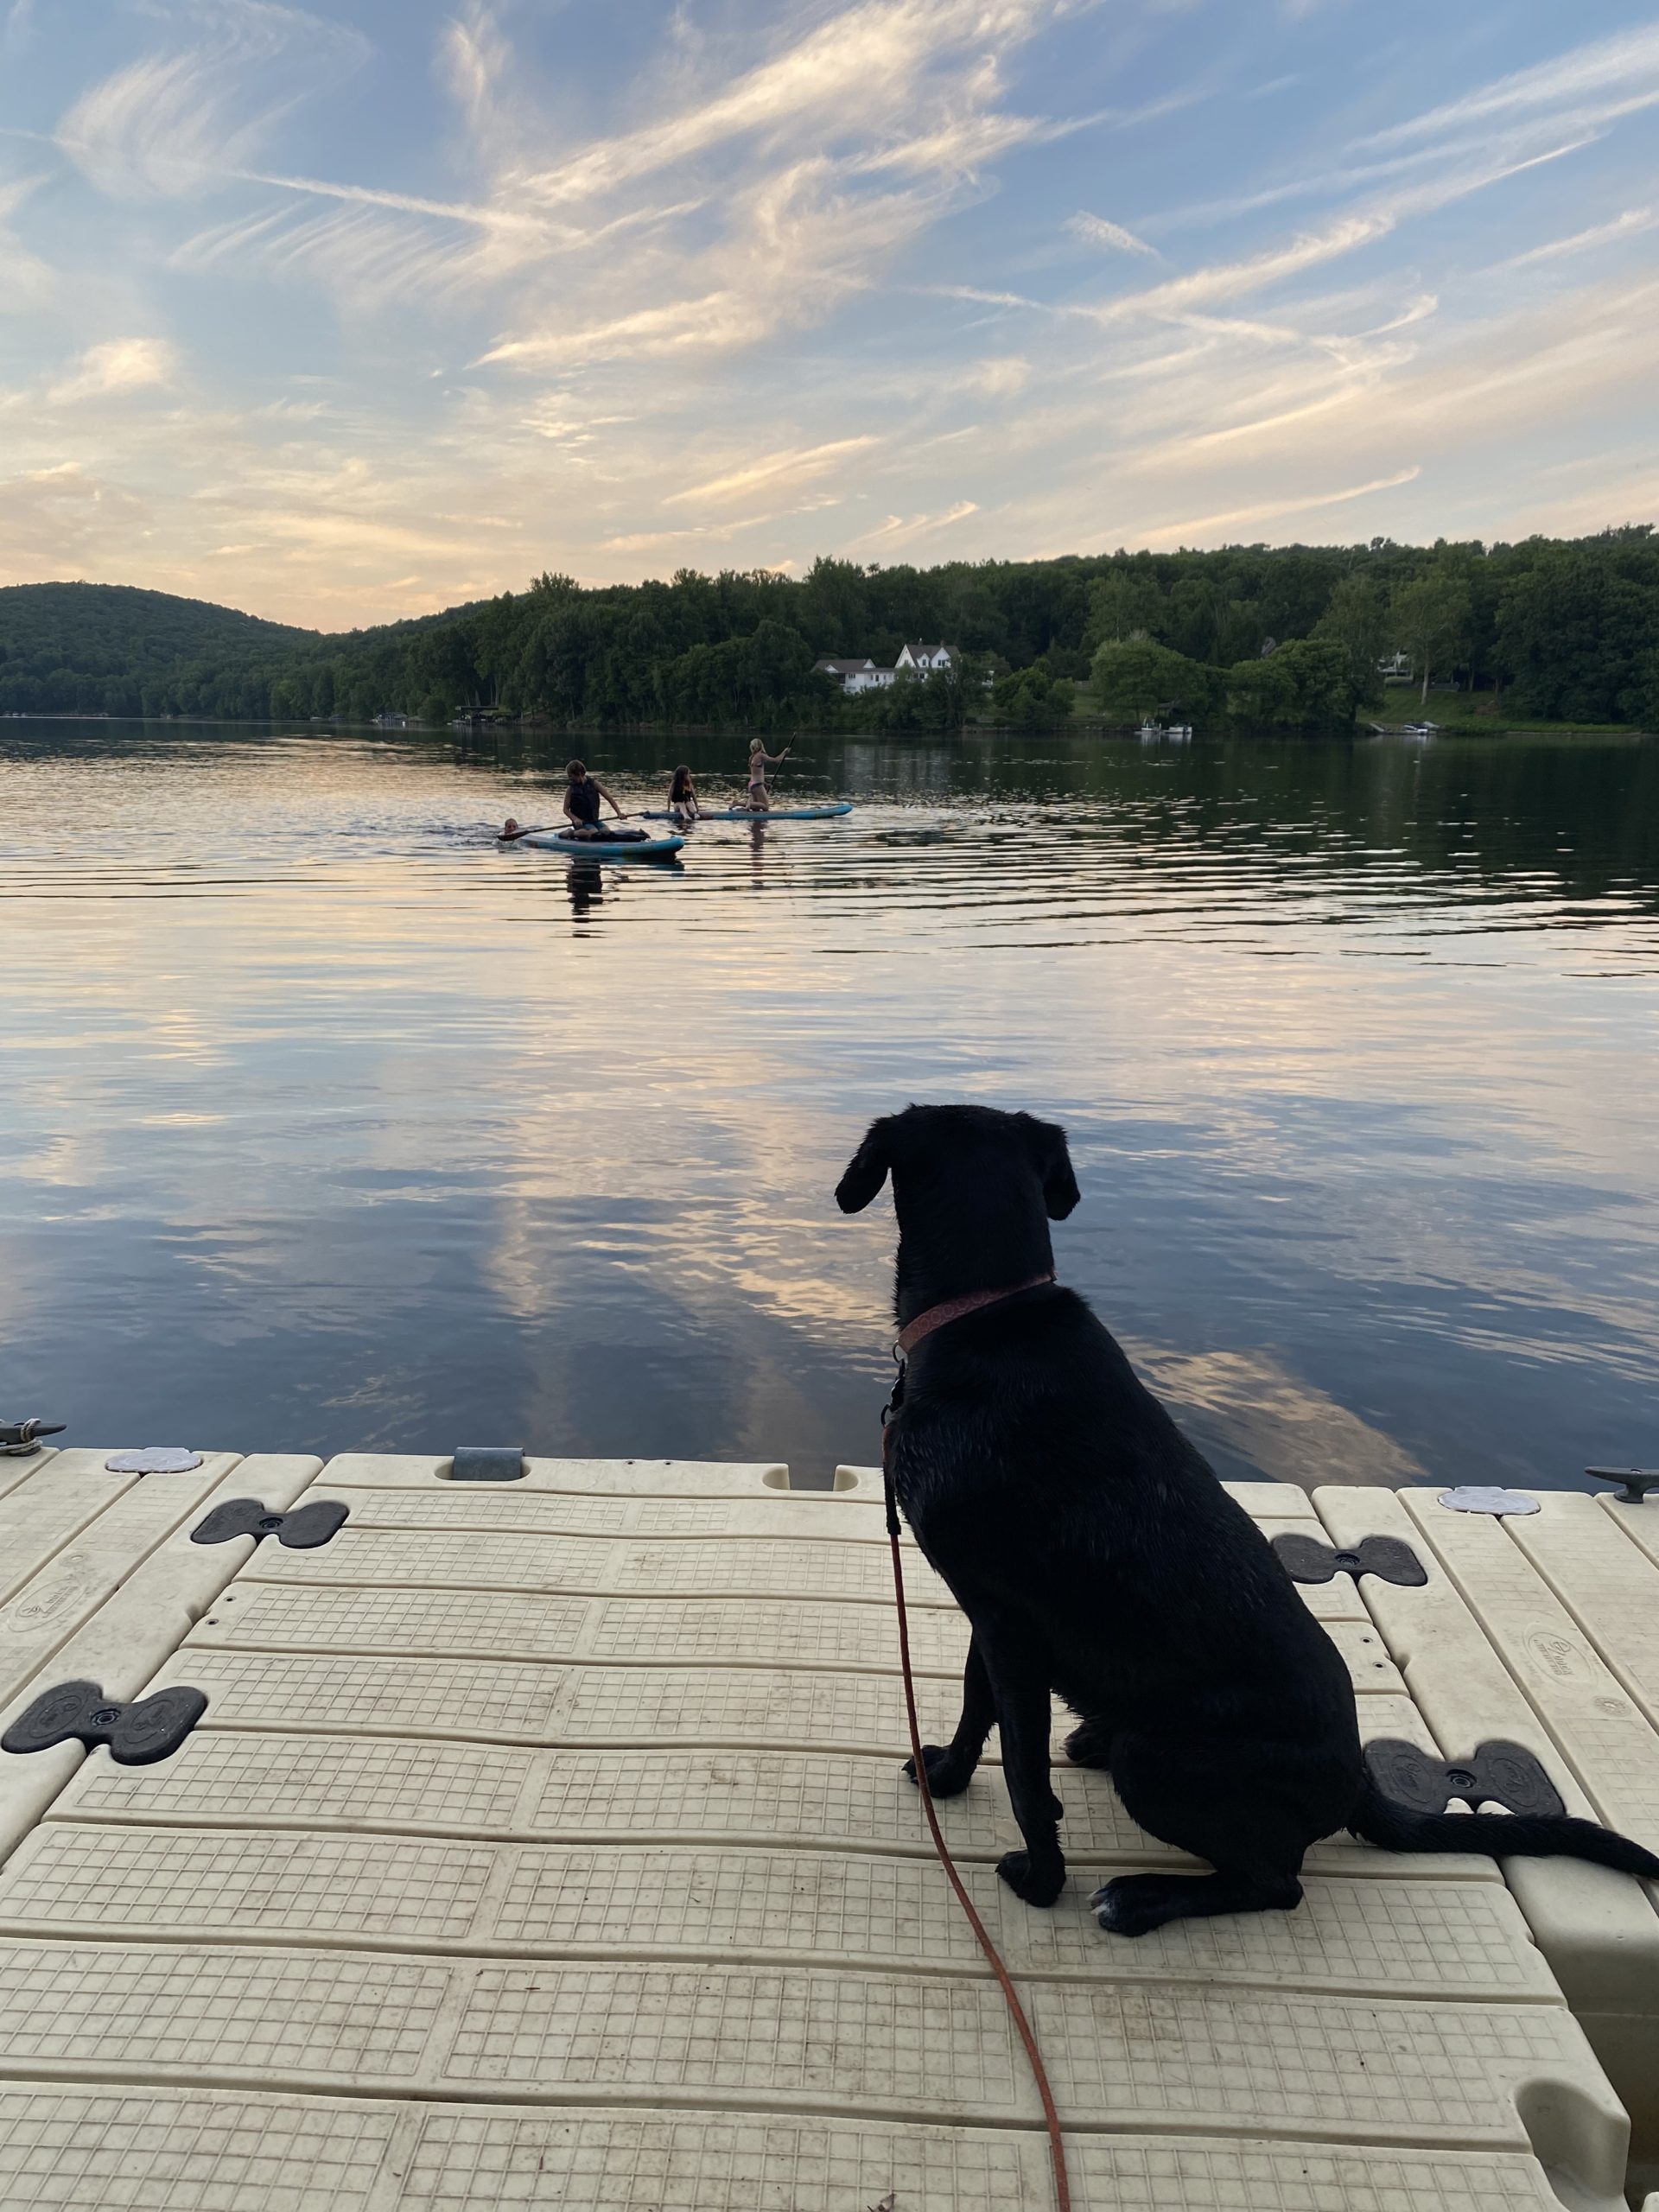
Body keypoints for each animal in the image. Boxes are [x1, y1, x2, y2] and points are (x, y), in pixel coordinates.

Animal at [836, 1106, 1659, 1937]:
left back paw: (1140, 1897)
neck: (991, 1314)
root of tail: (1357, 1781)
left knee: (1274, 1883)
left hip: (1158, 1762)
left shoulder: (1008, 1627)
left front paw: (1040, 1881)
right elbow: (977, 1710)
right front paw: (946, 1775)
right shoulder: (993, 1612)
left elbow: (1027, 1779)